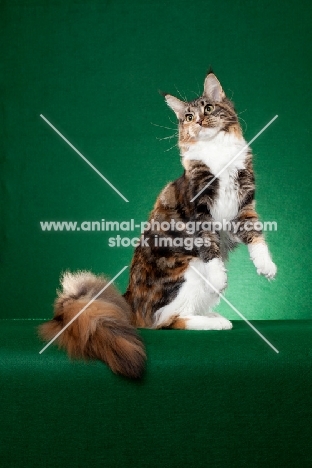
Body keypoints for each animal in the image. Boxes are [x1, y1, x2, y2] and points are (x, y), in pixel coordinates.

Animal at [38, 72, 276, 380]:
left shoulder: (245, 207)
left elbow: (257, 239)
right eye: (188, 116)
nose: (199, 121)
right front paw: (220, 277)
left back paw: (214, 316)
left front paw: (267, 267)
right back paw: (211, 321)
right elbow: (210, 248)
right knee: (166, 321)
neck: (217, 154)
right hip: (187, 270)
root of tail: (128, 303)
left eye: (208, 108)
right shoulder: (200, 213)